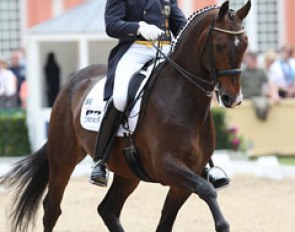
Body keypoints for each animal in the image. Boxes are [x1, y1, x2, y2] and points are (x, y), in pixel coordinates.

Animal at [0, 0, 252, 231]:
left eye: (245, 45)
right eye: (219, 45)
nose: (233, 98)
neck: (184, 100)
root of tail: (72, 81)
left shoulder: (187, 176)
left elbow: (168, 220)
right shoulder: (167, 166)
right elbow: (207, 191)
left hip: (127, 171)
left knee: (108, 210)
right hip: (63, 158)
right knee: (52, 208)